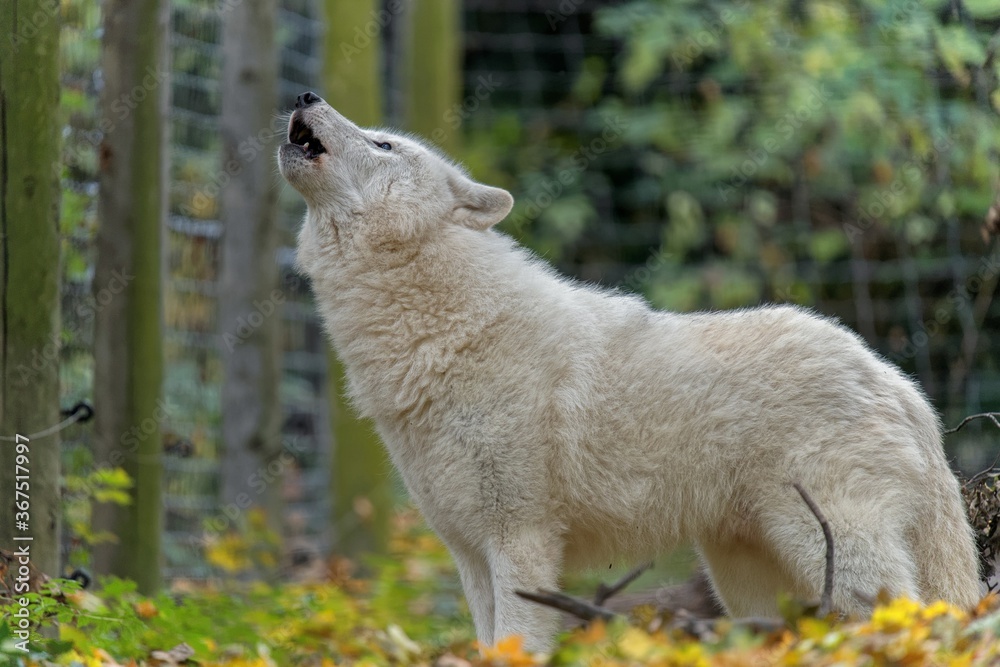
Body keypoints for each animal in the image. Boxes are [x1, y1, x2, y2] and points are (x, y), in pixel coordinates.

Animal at [278, 91, 981, 652]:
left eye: (384, 143)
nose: (306, 95)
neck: (447, 331)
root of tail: (901, 384)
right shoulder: (470, 552)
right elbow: (485, 644)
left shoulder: (520, 540)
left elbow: (515, 644)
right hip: (750, 577)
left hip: (832, 551)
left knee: (913, 616)